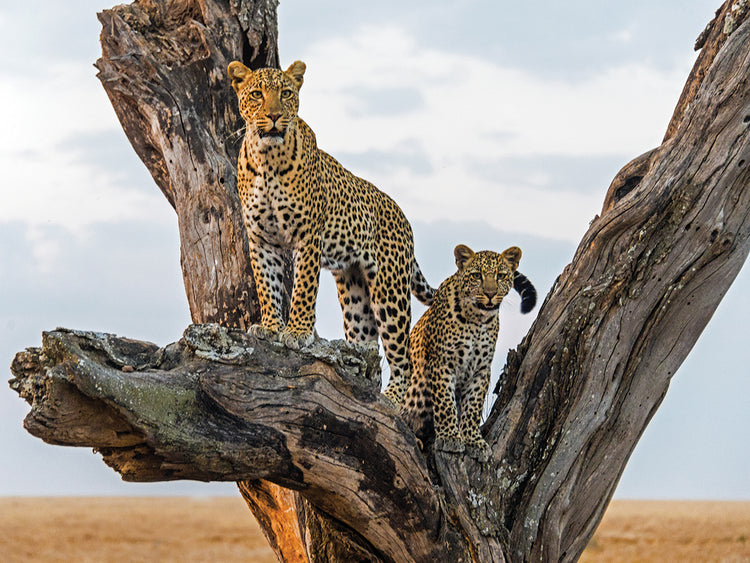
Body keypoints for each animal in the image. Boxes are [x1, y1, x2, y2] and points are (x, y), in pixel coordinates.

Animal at [227, 60, 435, 404]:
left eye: (286, 93)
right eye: (256, 94)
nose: (274, 116)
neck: (267, 159)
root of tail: (403, 219)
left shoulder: (307, 237)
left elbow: (303, 288)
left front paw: (297, 332)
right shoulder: (261, 239)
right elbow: (266, 286)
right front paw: (270, 326)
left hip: (389, 290)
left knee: (403, 357)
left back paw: (391, 399)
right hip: (355, 296)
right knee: (368, 347)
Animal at [400, 244, 537, 462]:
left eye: (500, 275)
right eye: (476, 276)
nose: (490, 293)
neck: (477, 321)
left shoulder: (481, 370)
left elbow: (473, 407)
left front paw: (474, 442)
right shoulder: (442, 364)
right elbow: (445, 403)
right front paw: (449, 437)